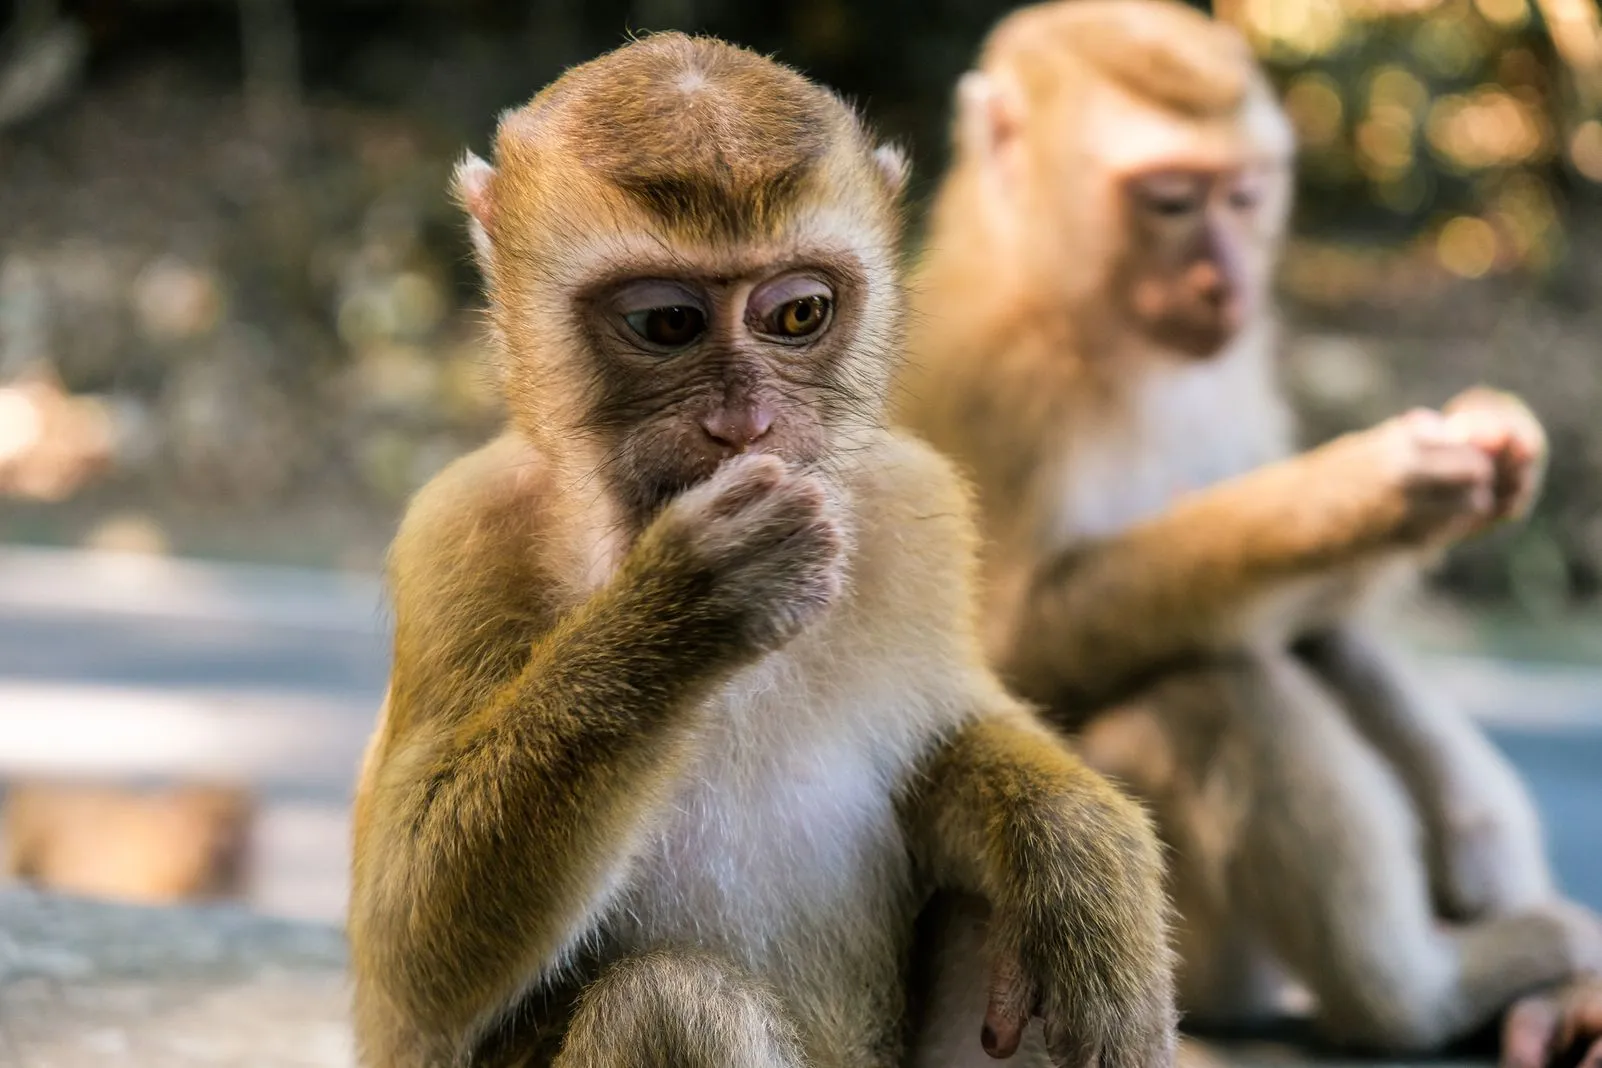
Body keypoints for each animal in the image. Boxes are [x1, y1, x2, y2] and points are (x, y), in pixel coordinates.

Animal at [346, 33, 1177, 1068]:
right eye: (667, 323)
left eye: (797, 315)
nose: (745, 426)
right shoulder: (456, 539)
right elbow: (409, 970)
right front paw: (690, 602)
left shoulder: (916, 508)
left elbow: (958, 735)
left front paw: (1075, 846)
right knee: (669, 1001)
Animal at [893, 0, 1602, 1058]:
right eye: (1171, 201)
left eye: (1245, 195)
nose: (1227, 282)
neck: (1079, 313)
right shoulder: (1003, 387)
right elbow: (1006, 653)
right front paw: (1363, 488)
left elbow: (1313, 619)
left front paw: (1490, 457)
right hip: (1182, 950)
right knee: (1206, 692)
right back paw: (1415, 1000)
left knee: (1313, 646)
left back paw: (1540, 994)